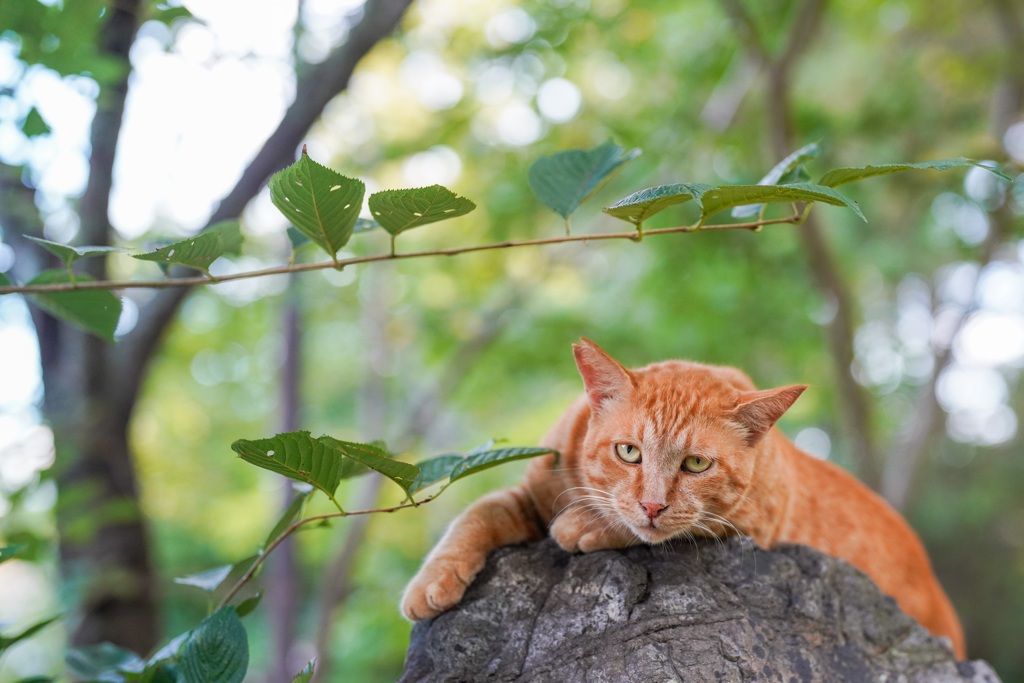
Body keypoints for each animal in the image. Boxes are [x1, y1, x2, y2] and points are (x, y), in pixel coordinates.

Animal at [401, 339, 966, 659]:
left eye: (695, 465)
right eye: (629, 452)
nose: (653, 504)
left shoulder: (750, 525)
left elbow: (655, 528)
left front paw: (586, 524)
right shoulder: (530, 494)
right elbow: (476, 513)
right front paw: (432, 581)